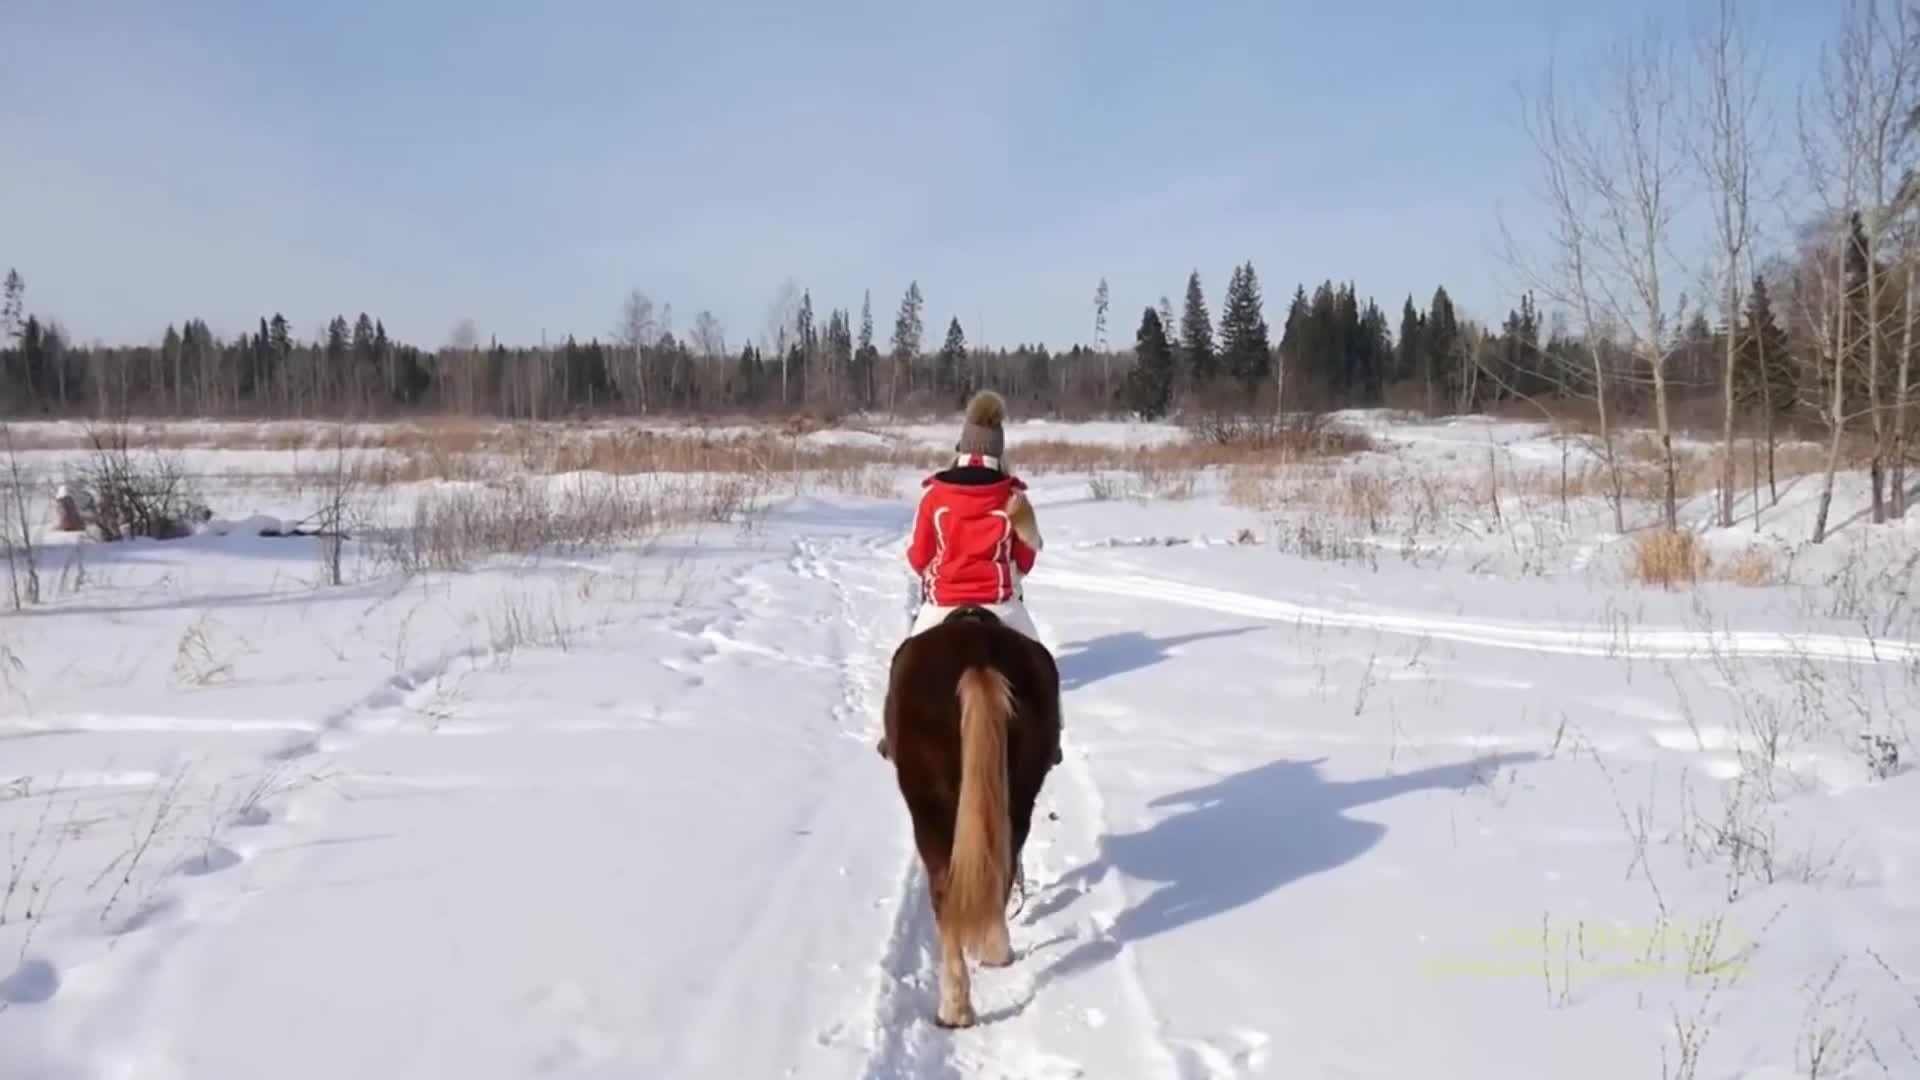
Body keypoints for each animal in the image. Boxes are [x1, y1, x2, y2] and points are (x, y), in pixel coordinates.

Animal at [879, 599, 1067, 1022]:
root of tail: (978, 660)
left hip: (928, 810)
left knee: (944, 893)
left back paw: (957, 1003)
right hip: (1018, 796)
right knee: (1001, 865)